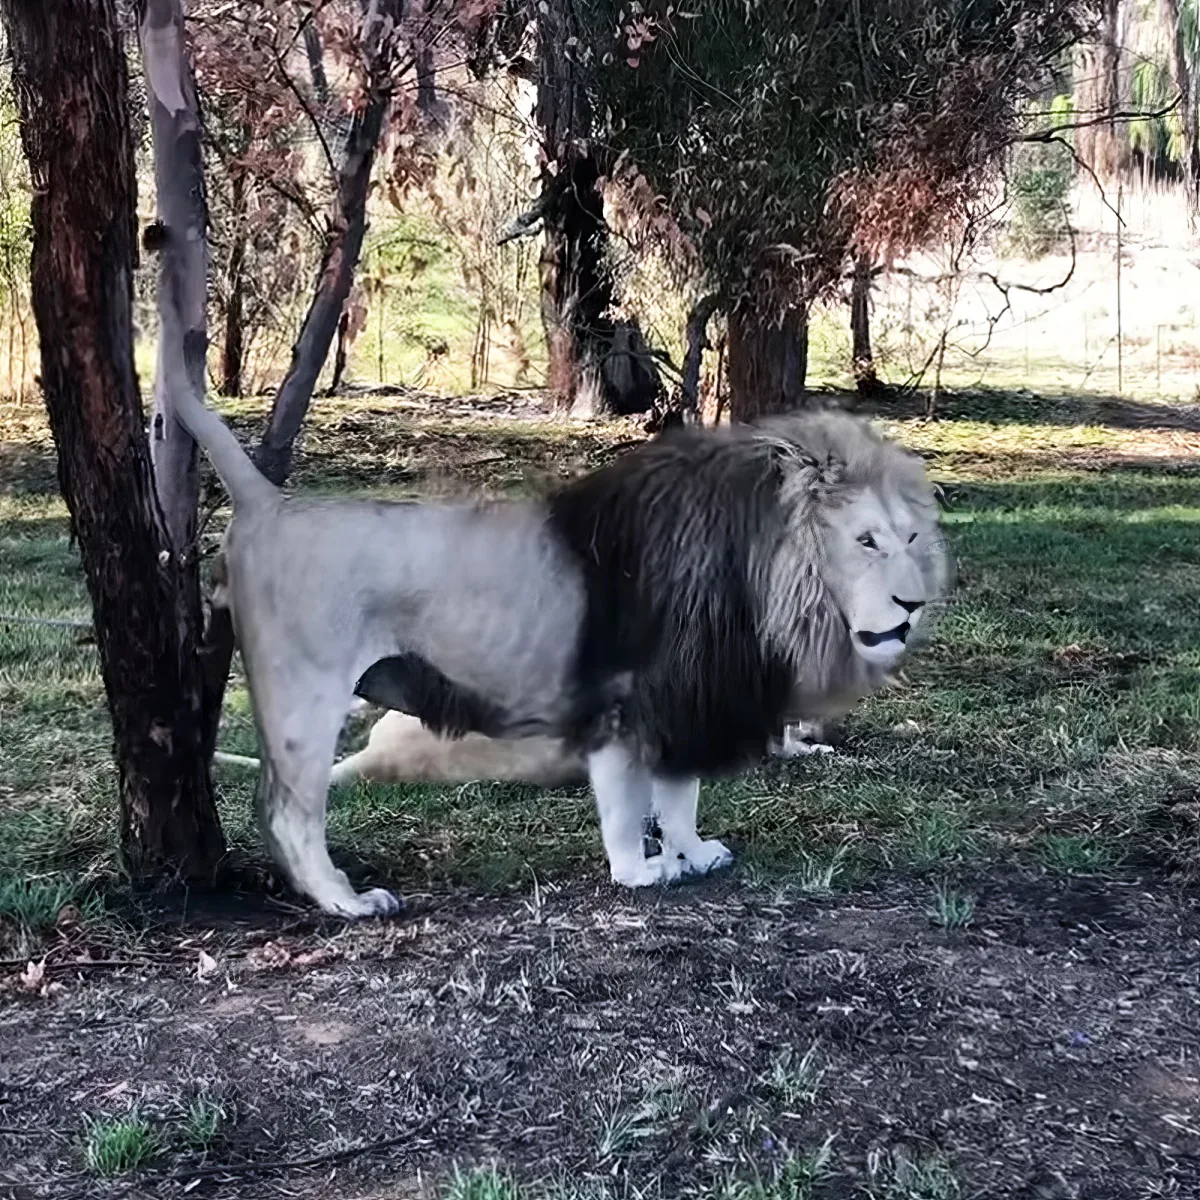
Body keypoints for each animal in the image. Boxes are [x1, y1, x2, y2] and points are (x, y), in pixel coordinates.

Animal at [176, 385, 950, 919]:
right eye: (866, 541)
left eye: (911, 538)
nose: (912, 606)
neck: (766, 569)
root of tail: (269, 502)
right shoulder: (638, 701)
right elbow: (631, 806)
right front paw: (643, 873)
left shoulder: (671, 703)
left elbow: (675, 798)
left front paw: (694, 853)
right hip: (305, 696)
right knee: (288, 812)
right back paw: (345, 902)